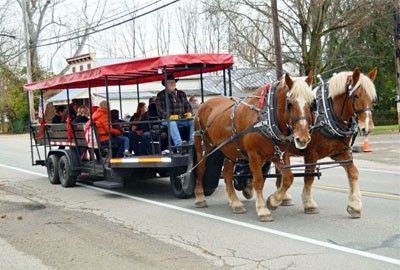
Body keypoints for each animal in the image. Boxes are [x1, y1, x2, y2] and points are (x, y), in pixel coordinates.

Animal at [195, 73, 316, 220]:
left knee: (227, 174)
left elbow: (288, 178)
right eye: (290, 104)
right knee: (200, 169)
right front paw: (263, 209)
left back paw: (235, 203)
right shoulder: (254, 155)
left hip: (229, 151)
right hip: (202, 147)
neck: (266, 117)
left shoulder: (279, 154)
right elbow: (258, 181)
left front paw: (273, 201)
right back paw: (200, 198)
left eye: (311, 103)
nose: (303, 138)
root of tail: (203, 104)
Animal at [274, 67, 376, 217]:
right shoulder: (311, 154)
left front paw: (354, 205)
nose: (367, 128)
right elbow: (309, 177)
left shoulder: (340, 152)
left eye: (372, 98)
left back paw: (284, 197)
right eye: (356, 96)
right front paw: (309, 204)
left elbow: (353, 173)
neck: (327, 116)